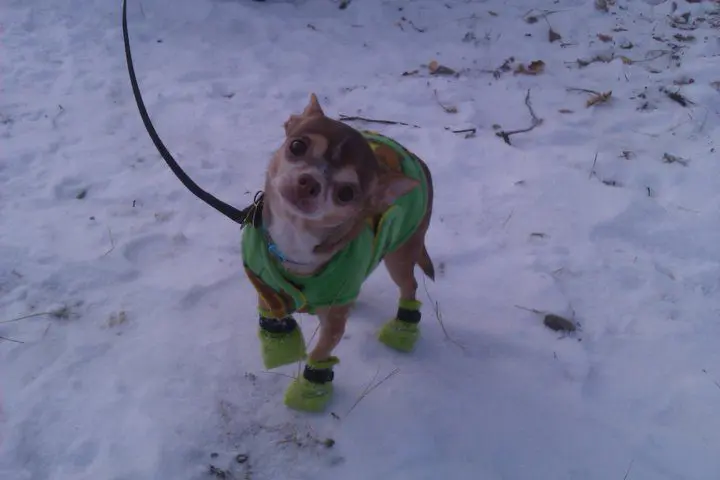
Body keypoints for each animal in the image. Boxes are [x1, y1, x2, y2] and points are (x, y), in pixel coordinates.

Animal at [241, 94, 434, 412]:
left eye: (346, 193)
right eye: (297, 146)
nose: (309, 182)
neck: (294, 238)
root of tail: (419, 162)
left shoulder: (331, 325)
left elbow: (321, 353)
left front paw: (309, 392)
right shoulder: (264, 281)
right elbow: (274, 312)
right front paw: (280, 348)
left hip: (402, 252)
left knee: (410, 285)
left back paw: (402, 330)